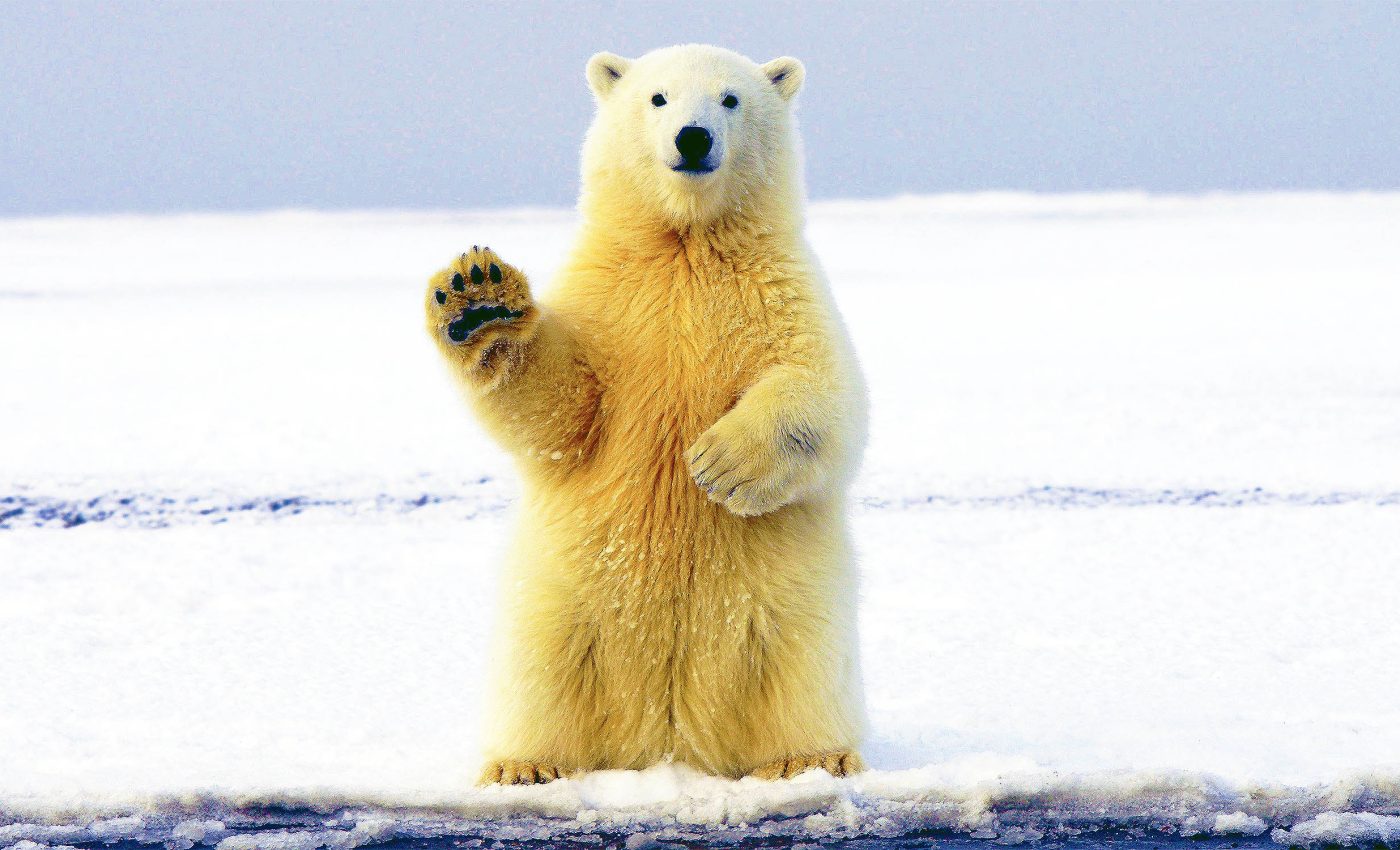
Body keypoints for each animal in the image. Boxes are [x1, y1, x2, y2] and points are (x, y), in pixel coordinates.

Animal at [423, 44, 867, 784]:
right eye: (657, 97)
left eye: (730, 99)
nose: (692, 138)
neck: (684, 245)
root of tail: (668, 739)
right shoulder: (609, 301)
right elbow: (562, 411)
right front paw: (478, 298)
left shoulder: (781, 293)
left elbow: (823, 393)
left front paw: (719, 463)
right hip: (562, 601)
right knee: (543, 674)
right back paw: (524, 766)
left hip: (788, 605)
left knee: (797, 668)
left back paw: (810, 757)